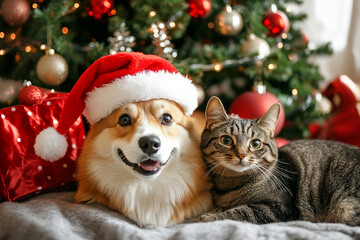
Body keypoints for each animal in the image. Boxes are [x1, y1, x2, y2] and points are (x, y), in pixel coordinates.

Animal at [198, 95, 360, 225]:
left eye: (255, 143)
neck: (230, 184)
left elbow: (238, 212)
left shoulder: (278, 207)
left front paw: (206, 218)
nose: (241, 155)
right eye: (226, 140)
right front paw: (213, 211)